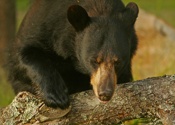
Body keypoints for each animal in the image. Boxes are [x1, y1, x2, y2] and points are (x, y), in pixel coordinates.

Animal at [7, 0, 138, 109]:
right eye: (94, 60)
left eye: (118, 62)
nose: (105, 93)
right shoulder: (43, 25)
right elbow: (22, 55)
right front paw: (57, 96)